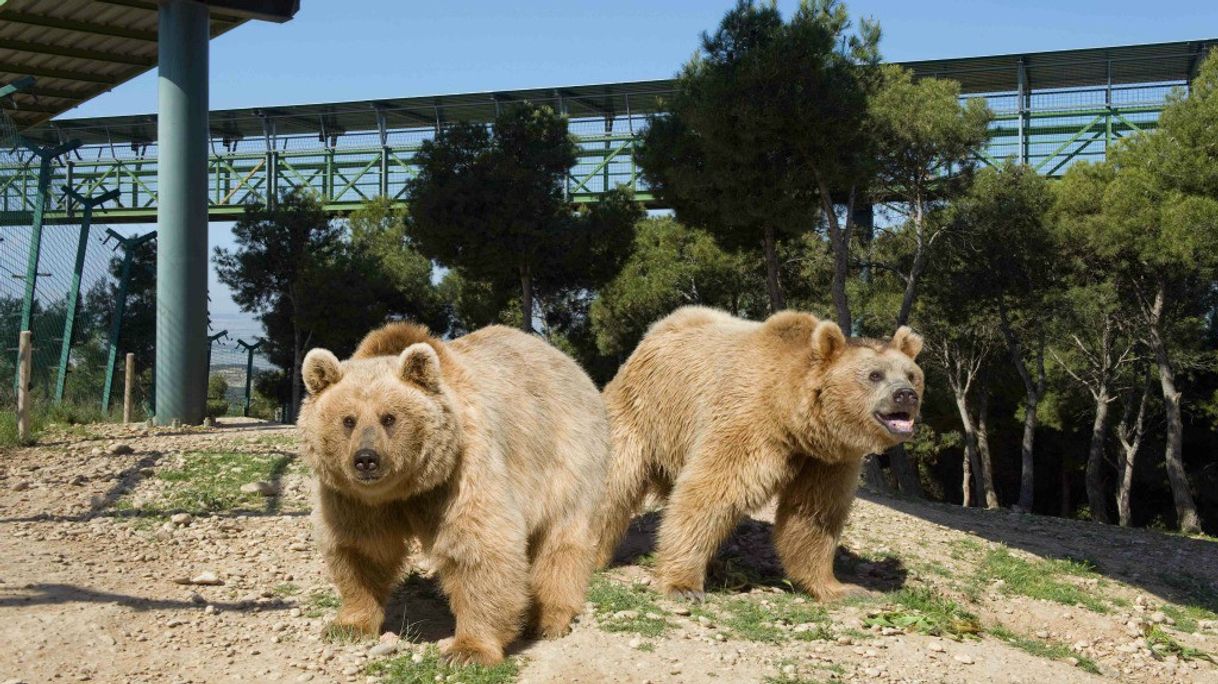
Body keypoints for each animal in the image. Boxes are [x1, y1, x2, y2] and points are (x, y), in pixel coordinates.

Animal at [297, 321, 609, 662]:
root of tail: (572, 366)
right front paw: (348, 623)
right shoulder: (355, 499)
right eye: (348, 420)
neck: (406, 489)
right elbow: (360, 549)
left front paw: (467, 649)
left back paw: (548, 618)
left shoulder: (462, 472)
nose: (366, 459)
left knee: (561, 538)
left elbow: (479, 548)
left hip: (566, 455)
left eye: (389, 417)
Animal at [591, 306, 920, 598]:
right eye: (875, 375)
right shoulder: (748, 424)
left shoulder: (826, 461)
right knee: (615, 483)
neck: (794, 421)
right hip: (643, 410)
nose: (906, 395)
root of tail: (657, 329)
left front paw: (842, 588)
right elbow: (709, 493)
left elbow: (813, 517)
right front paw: (684, 585)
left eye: (911, 374)